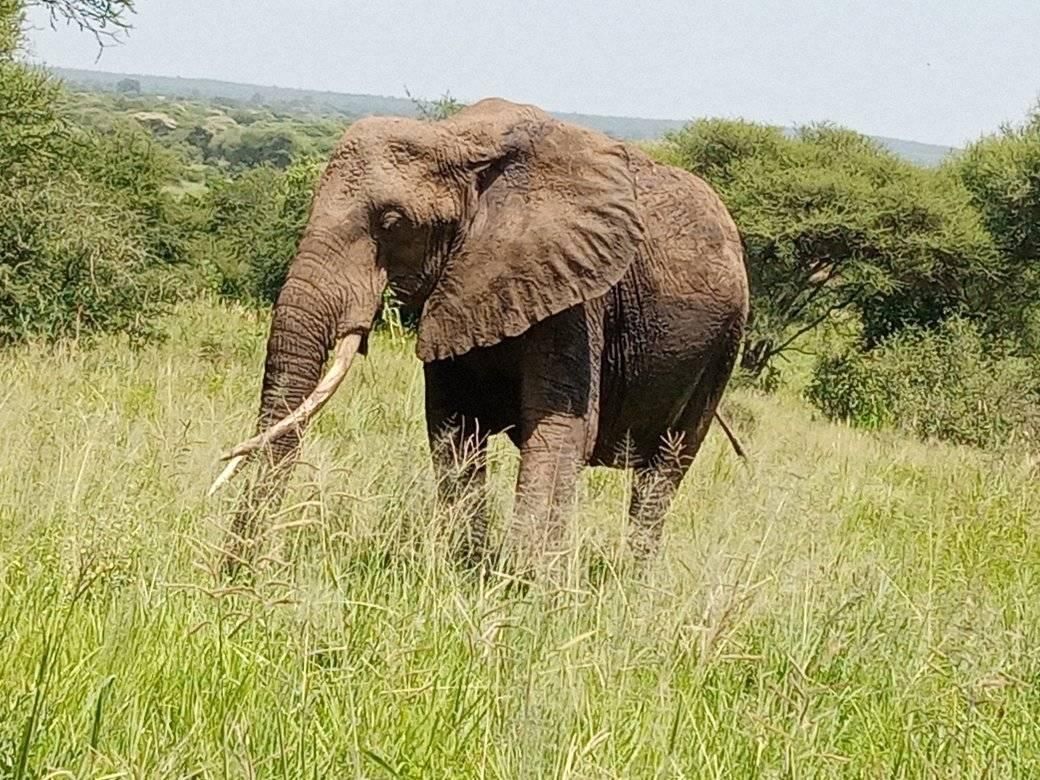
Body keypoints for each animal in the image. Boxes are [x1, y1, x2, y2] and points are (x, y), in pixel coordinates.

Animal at [213, 97, 748, 574]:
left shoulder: (576, 294)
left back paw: (634, 584)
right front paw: (468, 572)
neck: (456, 139)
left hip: (725, 345)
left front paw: (528, 592)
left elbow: (561, 431)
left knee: (665, 472)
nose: (237, 574)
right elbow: (454, 428)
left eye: (392, 223)